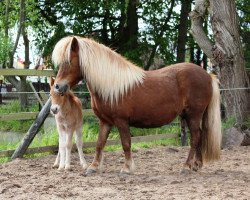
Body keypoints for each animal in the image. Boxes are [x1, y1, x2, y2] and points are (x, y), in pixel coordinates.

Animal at [51, 36, 222, 175]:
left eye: (68, 61)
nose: (58, 87)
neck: (111, 86)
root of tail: (208, 75)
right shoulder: (105, 121)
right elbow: (100, 143)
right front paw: (93, 167)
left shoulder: (121, 121)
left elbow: (126, 144)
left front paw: (127, 168)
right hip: (189, 115)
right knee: (199, 136)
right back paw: (196, 165)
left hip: (193, 114)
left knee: (195, 138)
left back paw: (186, 167)